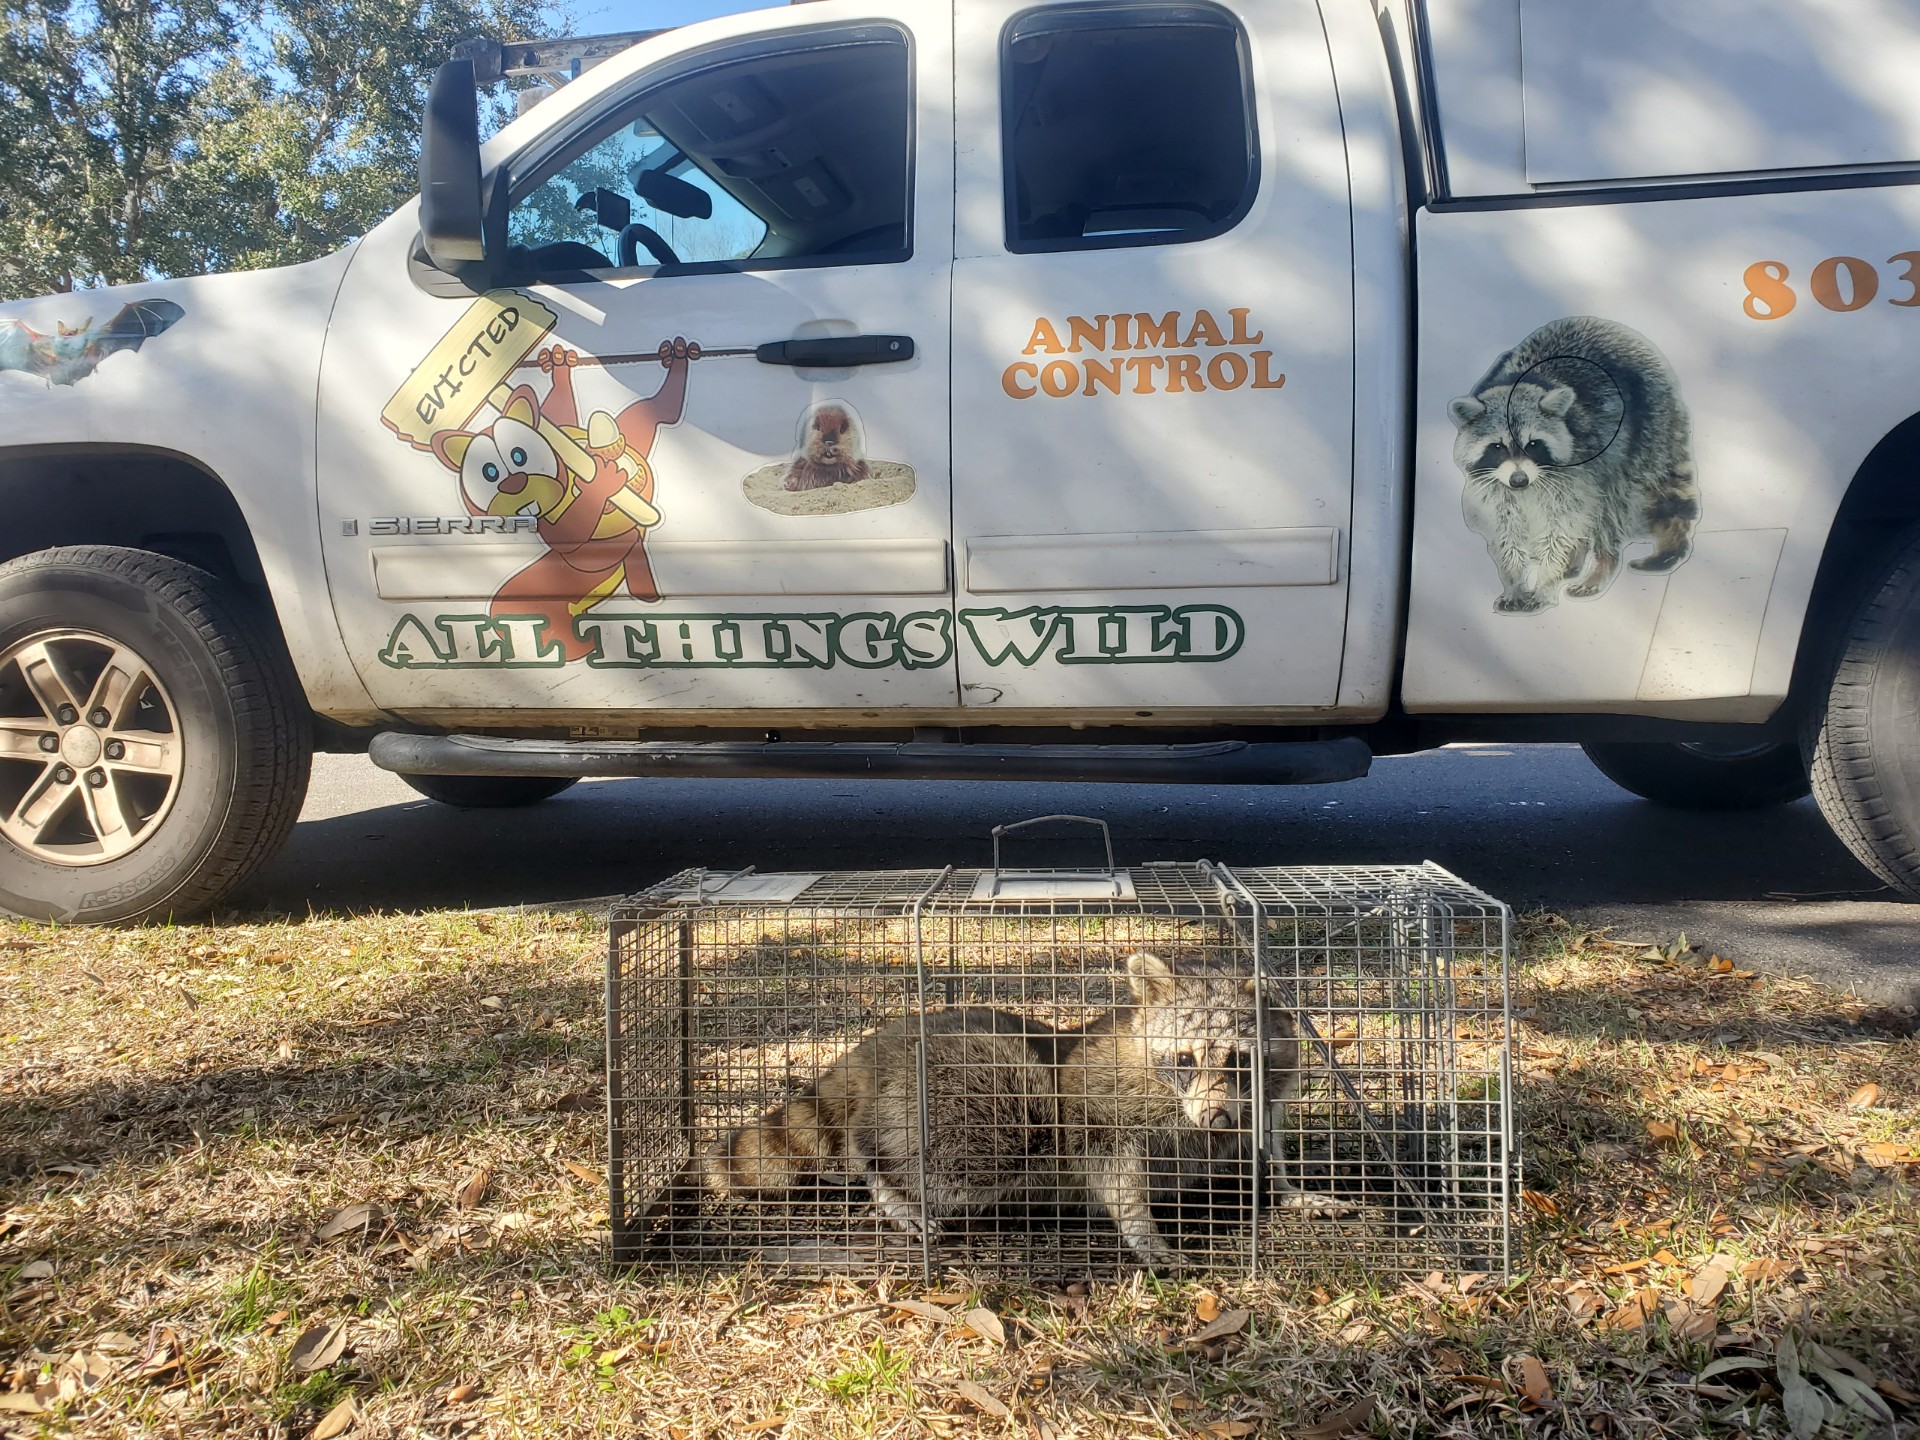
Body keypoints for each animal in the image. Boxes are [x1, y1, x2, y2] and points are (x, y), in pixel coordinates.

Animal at [1052, 960, 1351, 1274]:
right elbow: (1113, 1174)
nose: (1215, 1118)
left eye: (1240, 1060)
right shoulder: (1099, 1110)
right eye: (1185, 1060)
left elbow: (1258, 1148)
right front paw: (1142, 1230)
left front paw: (1282, 1186)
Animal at [1443, 314, 1704, 614]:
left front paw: (1546, 582)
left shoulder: (1575, 472)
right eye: (1497, 446)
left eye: (1533, 444)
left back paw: (1601, 564)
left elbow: (1562, 529)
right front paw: (1514, 583)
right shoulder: (1494, 485)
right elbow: (1505, 530)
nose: (1519, 481)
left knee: (1609, 509)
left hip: (1641, 435)